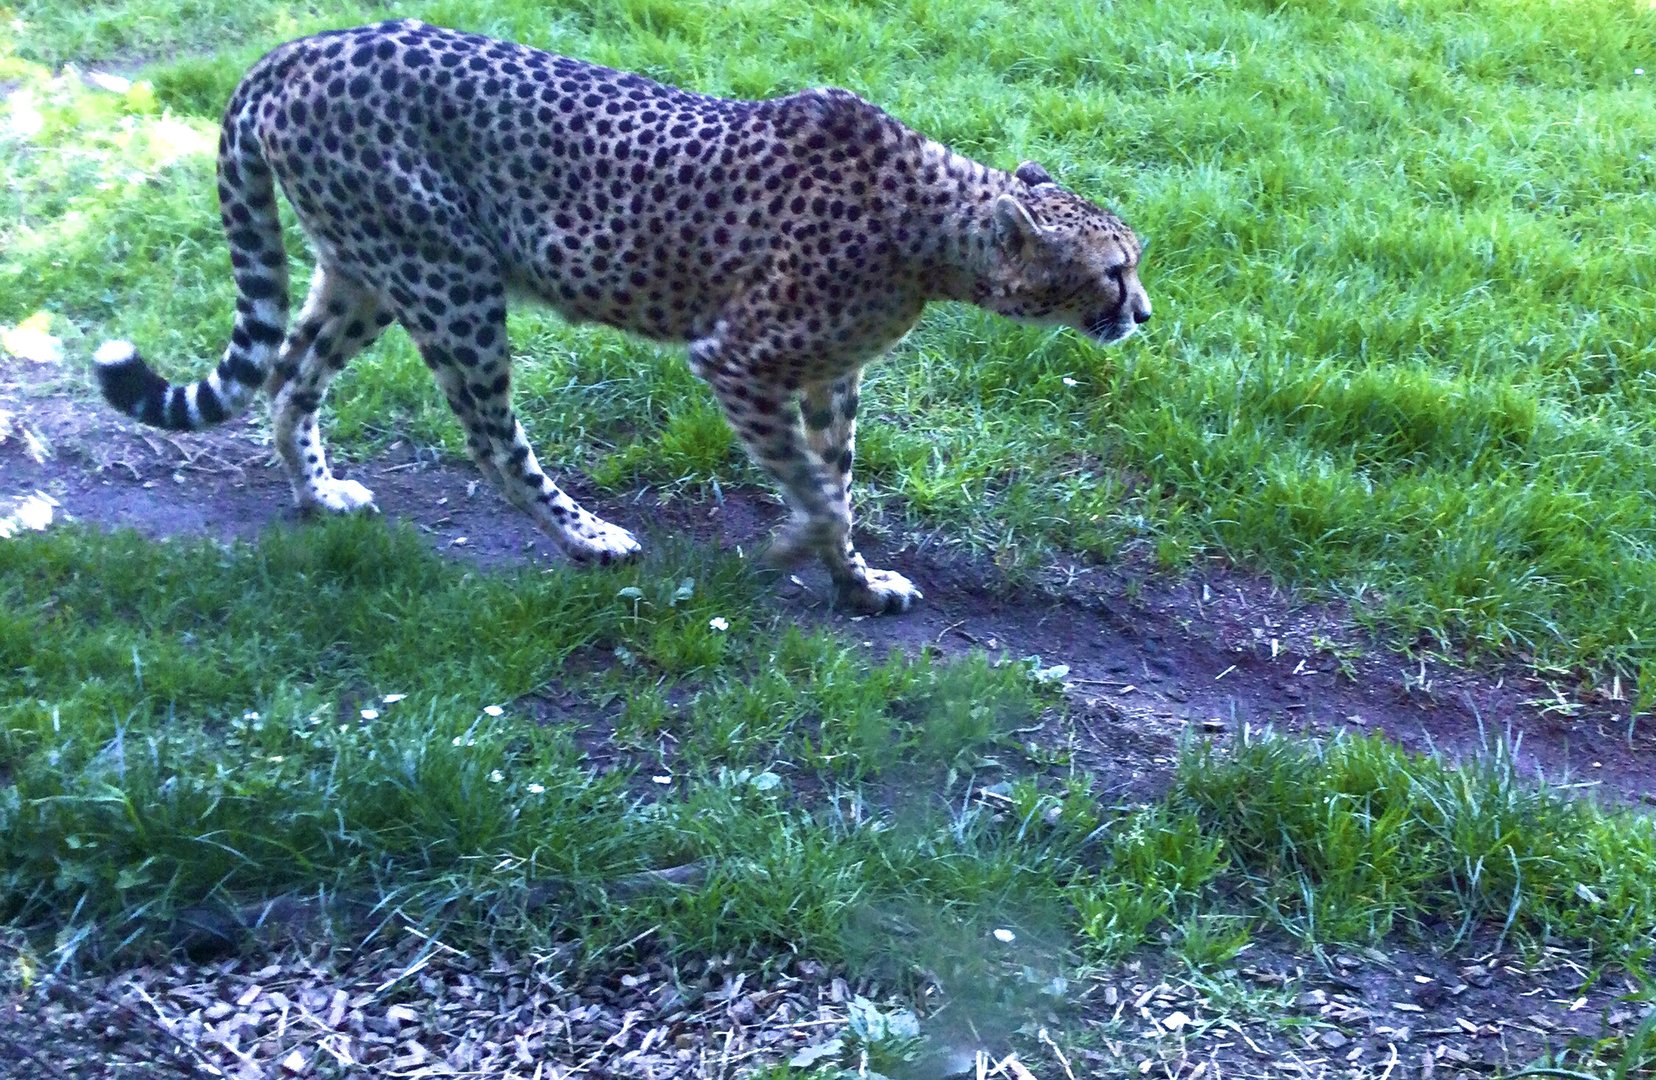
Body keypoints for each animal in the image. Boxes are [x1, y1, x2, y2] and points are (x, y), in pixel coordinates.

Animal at [93, 19, 1150, 615]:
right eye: (1113, 269)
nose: (1142, 311)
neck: (933, 230)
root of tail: (298, 47)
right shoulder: (736, 360)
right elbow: (818, 489)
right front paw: (795, 546)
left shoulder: (829, 377)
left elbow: (839, 480)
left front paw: (856, 582)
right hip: (449, 278)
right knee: (489, 435)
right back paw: (587, 537)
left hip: (367, 273)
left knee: (289, 375)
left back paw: (317, 494)